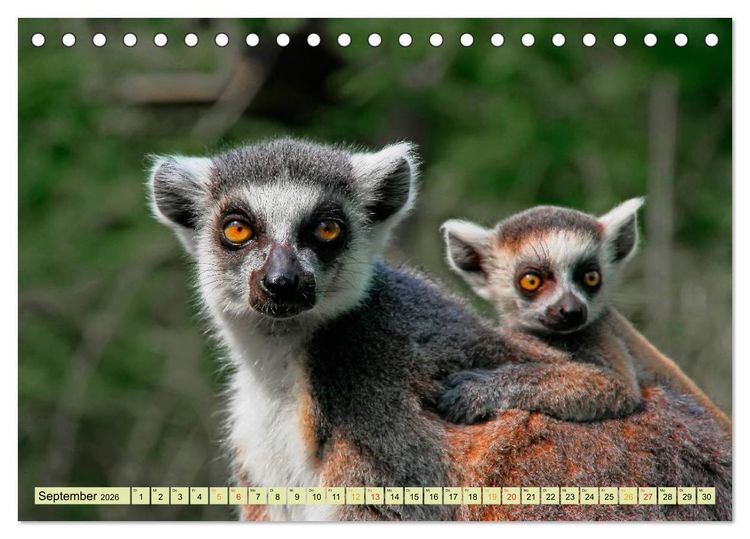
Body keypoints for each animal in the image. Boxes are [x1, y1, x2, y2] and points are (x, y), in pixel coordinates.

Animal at [439, 201, 731, 437]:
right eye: (531, 281)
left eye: (590, 277)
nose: (571, 310)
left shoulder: (599, 333)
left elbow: (615, 386)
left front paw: (481, 389)